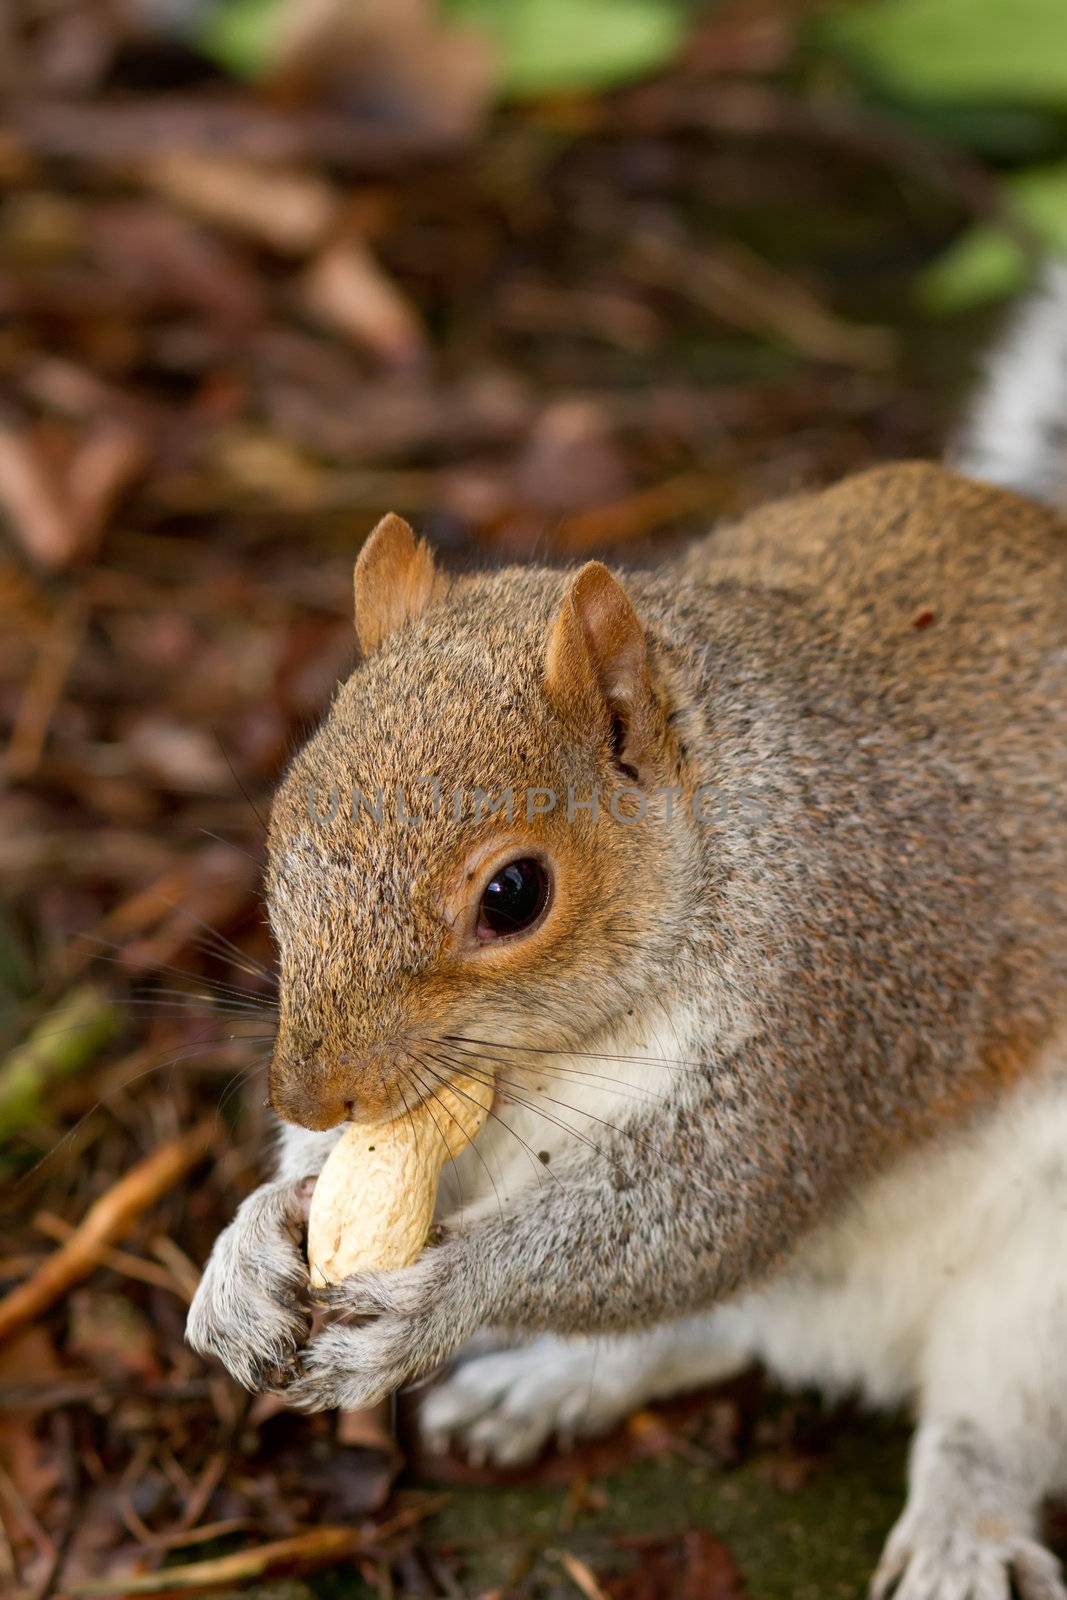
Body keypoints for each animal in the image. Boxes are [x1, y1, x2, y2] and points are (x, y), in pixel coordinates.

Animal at [187, 265, 1067, 1600]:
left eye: (512, 895)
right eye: (287, 816)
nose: (310, 1089)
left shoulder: (829, 1007)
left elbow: (699, 1210)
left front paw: (436, 1299)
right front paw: (246, 1246)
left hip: (1040, 1288)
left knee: (979, 1417)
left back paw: (961, 1532)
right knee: (710, 1331)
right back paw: (553, 1381)